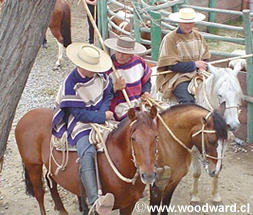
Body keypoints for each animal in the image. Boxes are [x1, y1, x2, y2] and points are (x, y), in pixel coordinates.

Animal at [14, 106, 158, 215]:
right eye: (133, 138)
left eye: (155, 137)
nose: (148, 175)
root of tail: (27, 116)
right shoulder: (102, 209)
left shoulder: (128, 205)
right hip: (33, 165)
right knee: (39, 193)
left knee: (51, 181)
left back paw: (61, 209)